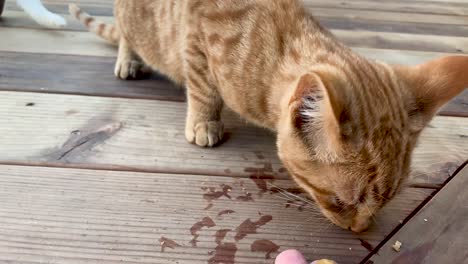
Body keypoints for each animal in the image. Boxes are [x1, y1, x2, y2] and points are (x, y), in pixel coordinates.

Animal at [70, 0, 468, 231]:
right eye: (341, 202)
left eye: (387, 201)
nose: (361, 230)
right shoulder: (196, 37)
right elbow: (202, 86)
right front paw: (203, 121)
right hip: (135, 21)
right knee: (128, 35)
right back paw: (128, 59)